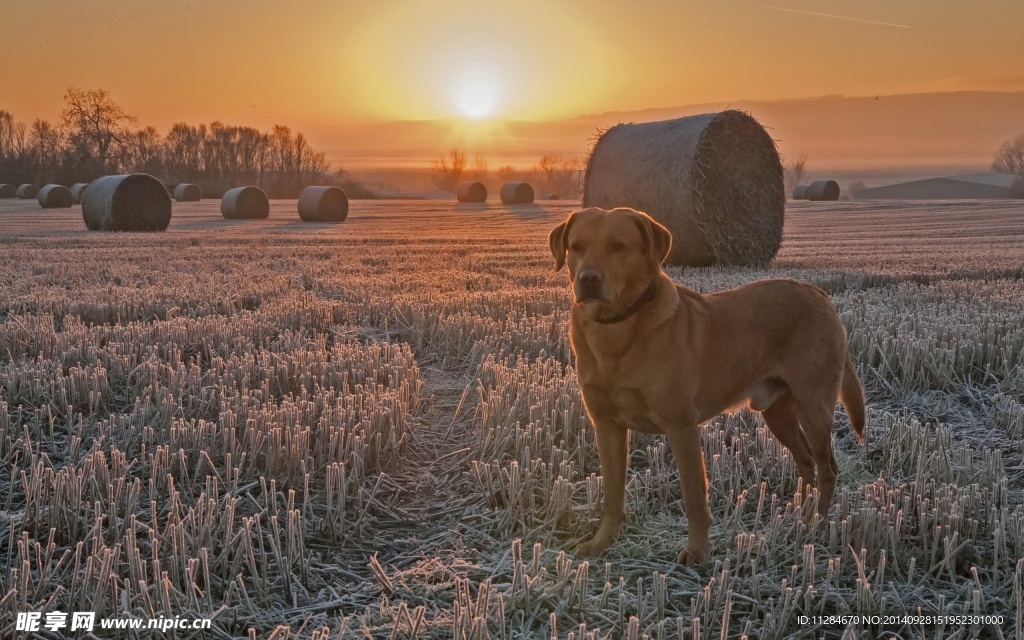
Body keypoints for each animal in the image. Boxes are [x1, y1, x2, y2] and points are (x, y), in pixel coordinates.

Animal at [552, 206, 864, 561]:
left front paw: (697, 552)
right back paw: (799, 515)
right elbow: (612, 494)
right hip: (777, 414)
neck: (618, 330)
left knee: (828, 468)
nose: (588, 279)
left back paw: (817, 523)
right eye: (576, 247)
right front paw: (603, 541)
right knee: (806, 460)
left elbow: (693, 497)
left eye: (618, 246)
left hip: (814, 408)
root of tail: (817, 292)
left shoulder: (681, 426)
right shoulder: (607, 426)